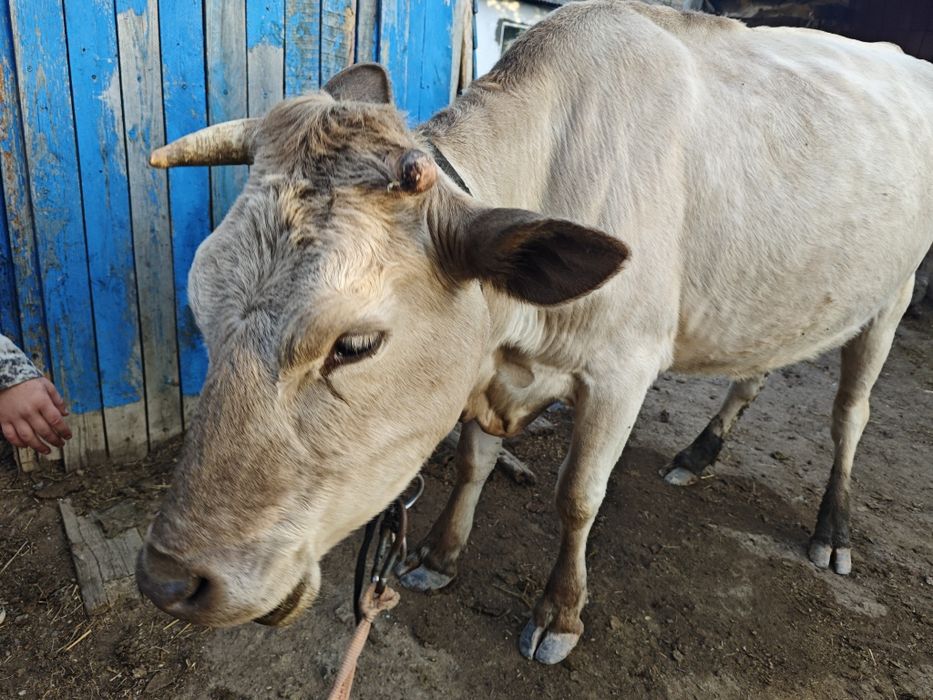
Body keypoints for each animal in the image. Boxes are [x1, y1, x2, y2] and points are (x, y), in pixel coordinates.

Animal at [135, 0, 933, 664]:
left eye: (354, 345)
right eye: (200, 306)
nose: (169, 582)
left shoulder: (621, 372)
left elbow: (577, 497)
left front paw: (560, 613)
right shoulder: (487, 364)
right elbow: (472, 463)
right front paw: (438, 555)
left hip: (891, 294)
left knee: (850, 413)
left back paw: (832, 529)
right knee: (758, 365)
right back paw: (700, 451)